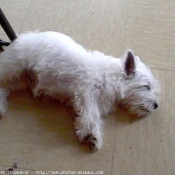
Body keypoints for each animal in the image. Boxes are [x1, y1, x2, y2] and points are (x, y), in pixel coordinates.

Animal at [0, 31, 160, 150]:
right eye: (146, 87)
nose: (156, 105)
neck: (110, 78)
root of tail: (16, 40)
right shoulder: (86, 94)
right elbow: (91, 115)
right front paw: (92, 136)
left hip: (18, 80)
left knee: (3, 89)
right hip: (12, 68)